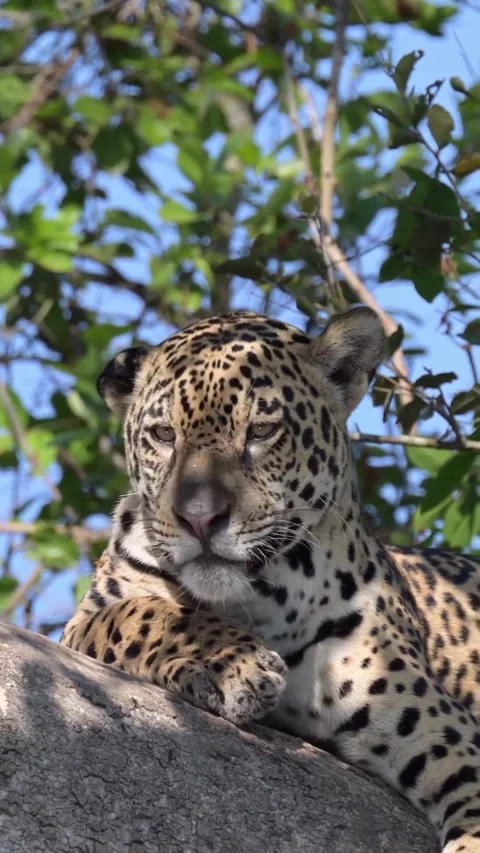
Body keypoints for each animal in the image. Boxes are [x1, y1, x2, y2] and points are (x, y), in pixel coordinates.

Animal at [61, 306, 480, 853]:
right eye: (164, 436)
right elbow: (140, 614)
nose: (200, 518)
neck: (255, 598)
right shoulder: (81, 624)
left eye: (261, 431)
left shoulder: (442, 728)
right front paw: (234, 666)